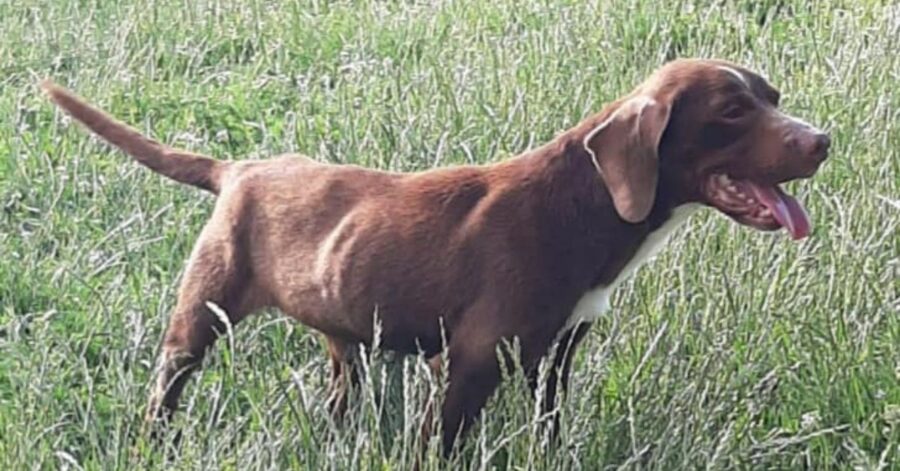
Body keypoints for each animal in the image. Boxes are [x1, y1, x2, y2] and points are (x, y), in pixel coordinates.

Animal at [42, 57, 828, 456]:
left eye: (773, 96)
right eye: (731, 111)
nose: (824, 141)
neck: (589, 207)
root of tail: (240, 168)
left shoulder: (555, 356)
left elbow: (549, 430)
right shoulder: (472, 360)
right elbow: (438, 445)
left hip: (347, 331)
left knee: (340, 395)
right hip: (201, 312)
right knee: (167, 387)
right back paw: (154, 443)